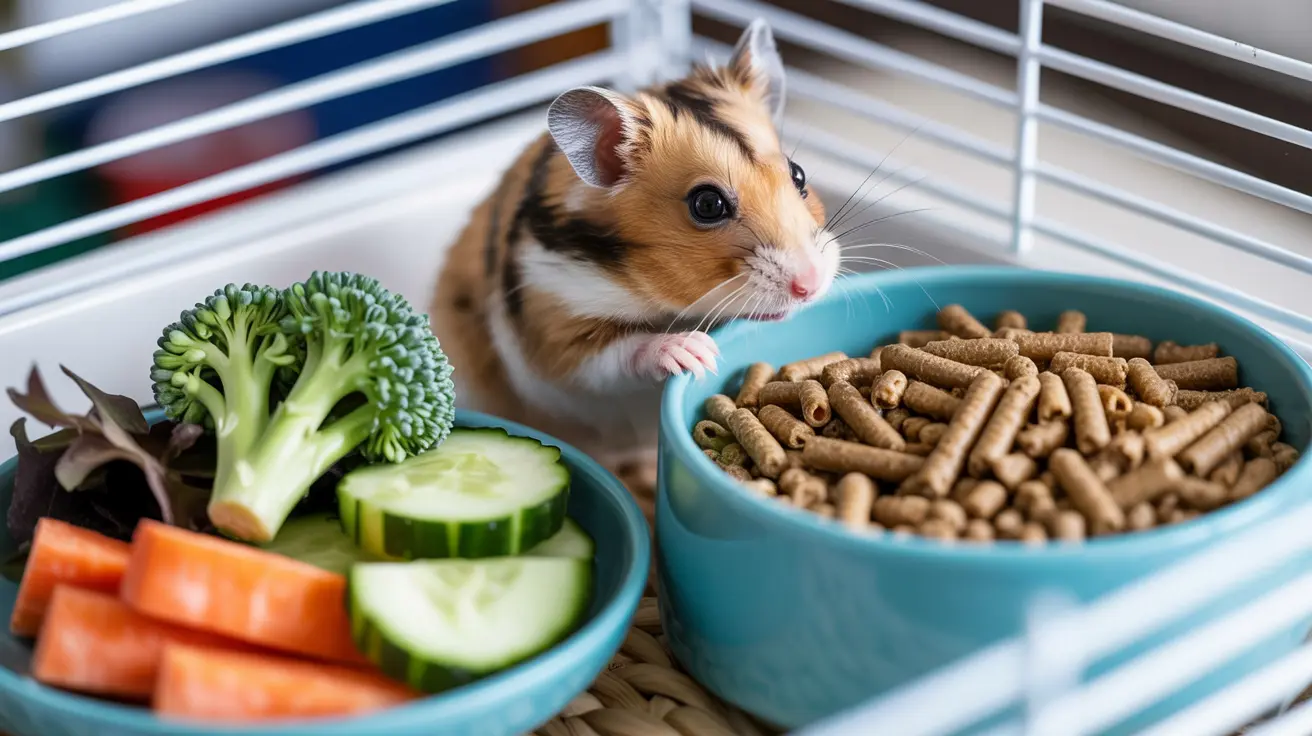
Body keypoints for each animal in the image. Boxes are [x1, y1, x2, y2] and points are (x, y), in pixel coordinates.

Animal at [430, 19, 839, 493]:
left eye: (799, 174)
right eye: (707, 204)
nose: (811, 285)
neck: (655, 296)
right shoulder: (557, 326)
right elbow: (617, 355)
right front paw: (695, 352)